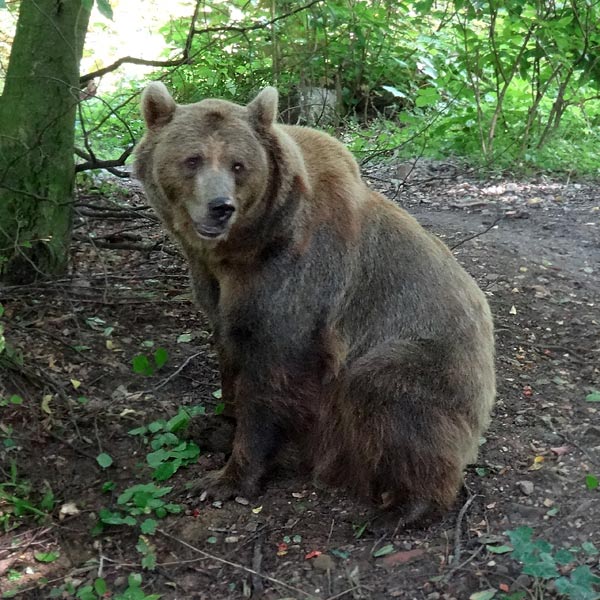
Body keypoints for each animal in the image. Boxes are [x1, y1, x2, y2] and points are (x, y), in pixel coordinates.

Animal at [136, 82, 496, 524]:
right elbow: (229, 351)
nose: (220, 206)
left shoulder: (296, 280)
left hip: (429, 361)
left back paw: (403, 507)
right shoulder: (215, 288)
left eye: (238, 165)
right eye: (192, 159)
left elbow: (270, 375)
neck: (244, 247)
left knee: (387, 394)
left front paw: (228, 478)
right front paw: (220, 424)